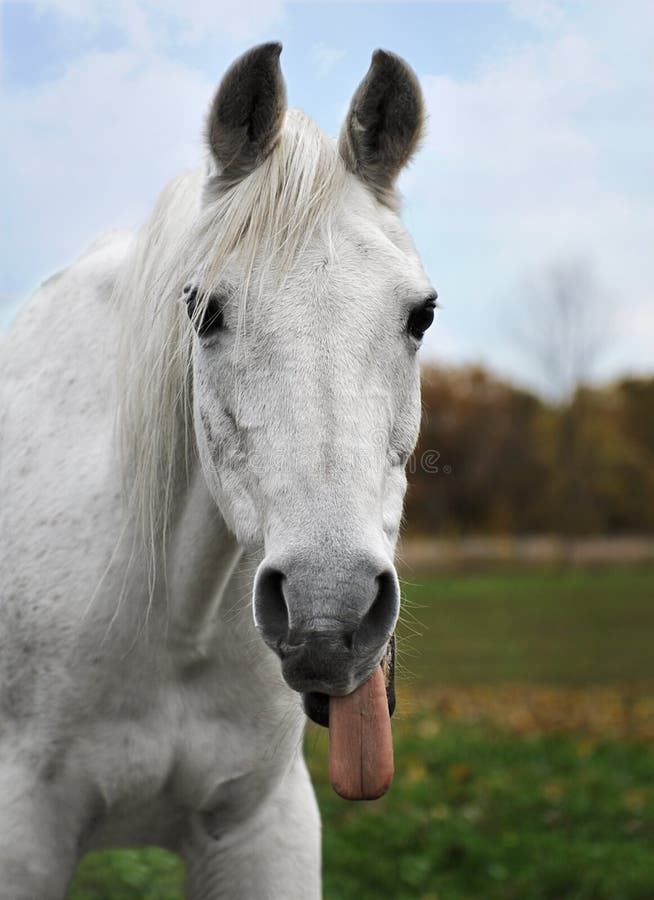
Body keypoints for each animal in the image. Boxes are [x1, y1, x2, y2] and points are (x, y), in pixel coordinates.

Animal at [2, 44, 438, 900]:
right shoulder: (21, 834)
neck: (176, 618)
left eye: (420, 315)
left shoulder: (263, 828)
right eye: (206, 312)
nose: (328, 613)